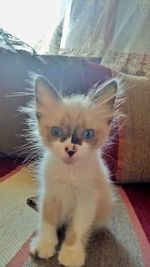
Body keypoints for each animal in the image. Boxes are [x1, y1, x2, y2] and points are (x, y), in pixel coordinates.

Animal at [28, 76, 116, 267]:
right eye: (56, 131)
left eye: (88, 134)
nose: (70, 149)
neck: (69, 174)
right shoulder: (49, 196)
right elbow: (47, 222)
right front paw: (44, 244)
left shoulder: (86, 202)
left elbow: (76, 230)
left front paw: (71, 253)